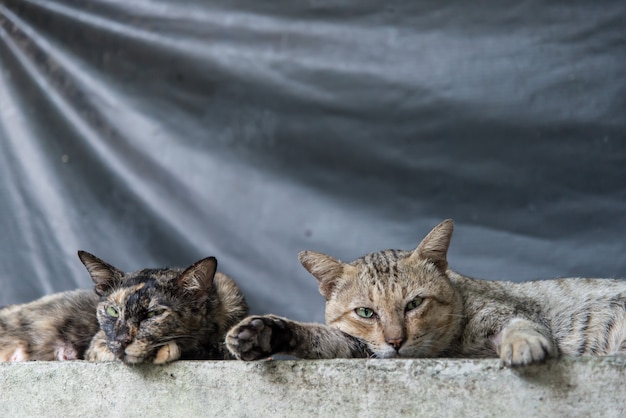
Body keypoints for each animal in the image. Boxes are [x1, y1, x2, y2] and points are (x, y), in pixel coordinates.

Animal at [225, 219, 624, 366]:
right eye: (365, 312)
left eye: (414, 303)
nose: (396, 340)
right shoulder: (362, 347)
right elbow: (324, 338)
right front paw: (265, 333)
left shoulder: (510, 310)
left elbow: (522, 324)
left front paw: (523, 344)